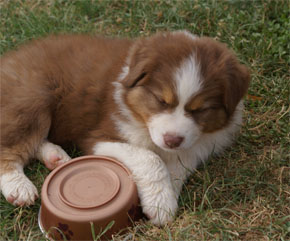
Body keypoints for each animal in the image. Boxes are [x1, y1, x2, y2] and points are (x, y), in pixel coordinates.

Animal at [0, 31, 249, 225]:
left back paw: (55, 157)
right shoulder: (101, 137)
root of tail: (8, 60)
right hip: (32, 99)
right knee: (10, 147)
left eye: (200, 110)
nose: (172, 140)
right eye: (161, 100)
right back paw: (19, 188)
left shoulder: (195, 147)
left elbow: (177, 167)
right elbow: (150, 158)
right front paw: (160, 204)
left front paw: (163, 200)